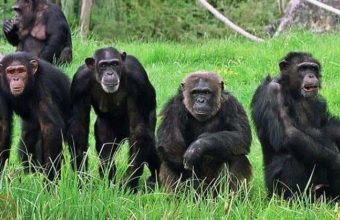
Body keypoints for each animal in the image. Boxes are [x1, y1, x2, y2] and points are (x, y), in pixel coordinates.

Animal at [0, 51, 71, 180]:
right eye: (10, 72)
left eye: (21, 70)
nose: (15, 78)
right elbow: (2, 126)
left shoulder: (45, 84)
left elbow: (50, 128)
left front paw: (50, 178)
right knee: (27, 138)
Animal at [68, 47, 160, 192]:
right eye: (103, 65)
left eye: (115, 64)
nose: (110, 73)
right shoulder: (79, 83)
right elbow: (79, 127)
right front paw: (82, 179)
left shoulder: (138, 79)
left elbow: (139, 129)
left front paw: (128, 184)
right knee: (105, 152)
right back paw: (109, 185)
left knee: (148, 143)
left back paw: (156, 179)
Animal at [251, 52, 340, 201]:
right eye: (303, 68)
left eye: (313, 68)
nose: (311, 75)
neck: (293, 92)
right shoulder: (272, 92)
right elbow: (289, 132)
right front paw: (338, 160)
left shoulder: (317, 102)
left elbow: (327, 126)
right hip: (274, 190)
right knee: (291, 159)